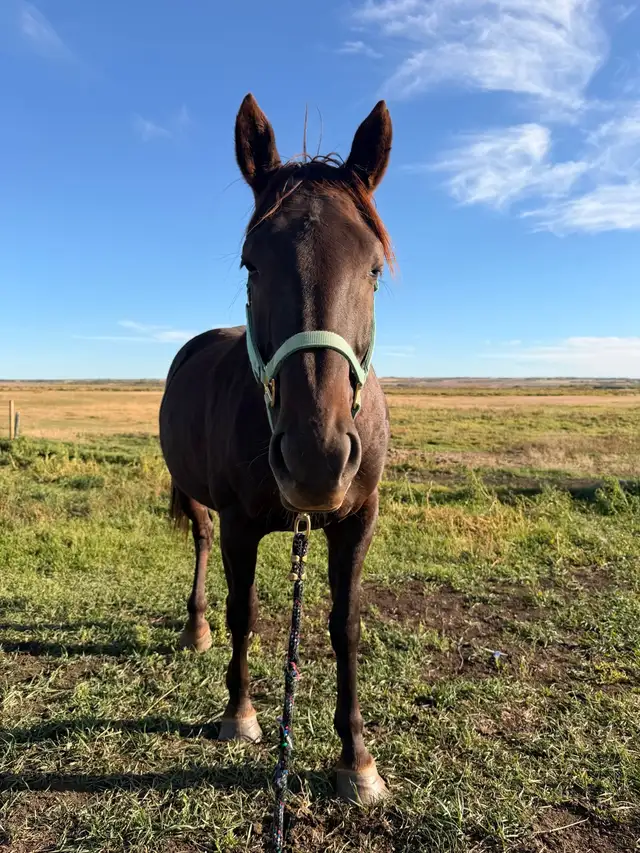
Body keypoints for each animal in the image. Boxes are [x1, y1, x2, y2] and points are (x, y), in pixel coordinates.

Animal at [159, 93, 393, 804]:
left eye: (373, 268)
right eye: (250, 263)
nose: (317, 459)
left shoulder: (358, 520)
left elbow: (345, 625)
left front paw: (357, 758)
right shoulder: (242, 522)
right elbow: (245, 611)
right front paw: (239, 713)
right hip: (200, 497)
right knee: (202, 541)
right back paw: (196, 626)